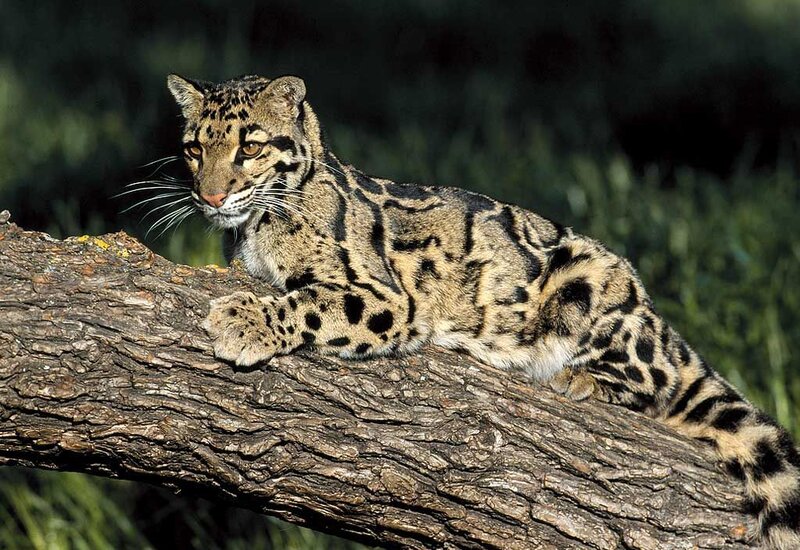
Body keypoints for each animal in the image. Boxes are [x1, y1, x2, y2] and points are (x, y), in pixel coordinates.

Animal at [165, 73, 800, 548]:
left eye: (249, 146)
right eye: (195, 148)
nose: (210, 196)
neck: (252, 229)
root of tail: (656, 317)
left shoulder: (385, 296)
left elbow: (310, 301)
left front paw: (243, 321)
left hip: (593, 280)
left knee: (658, 377)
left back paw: (582, 378)